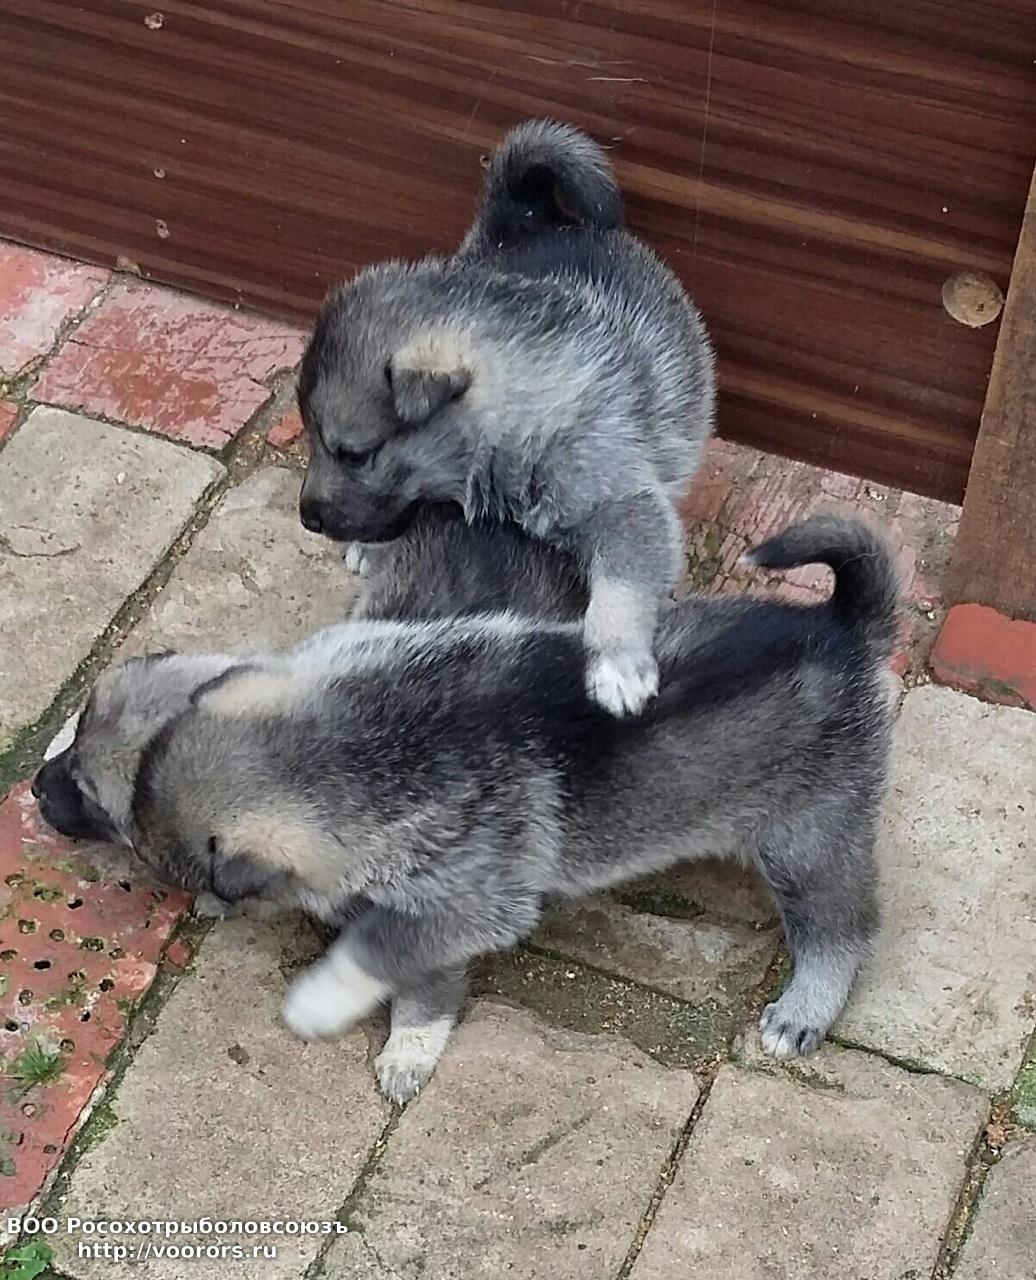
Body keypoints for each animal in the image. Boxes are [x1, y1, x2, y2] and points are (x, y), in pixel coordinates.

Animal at [34, 513, 894, 1104]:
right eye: (77, 725)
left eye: (102, 808)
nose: (35, 791)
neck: (355, 741)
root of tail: (842, 624)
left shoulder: (461, 907)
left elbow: (384, 957)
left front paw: (340, 1011)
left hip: (808, 836)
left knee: (843, 929)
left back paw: (804, 1008)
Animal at [297, 118, 715, 717]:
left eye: (353, 454)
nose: (306, 516)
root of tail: (526, 218)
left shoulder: (622, 502)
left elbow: (623, 586)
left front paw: (617, 665)